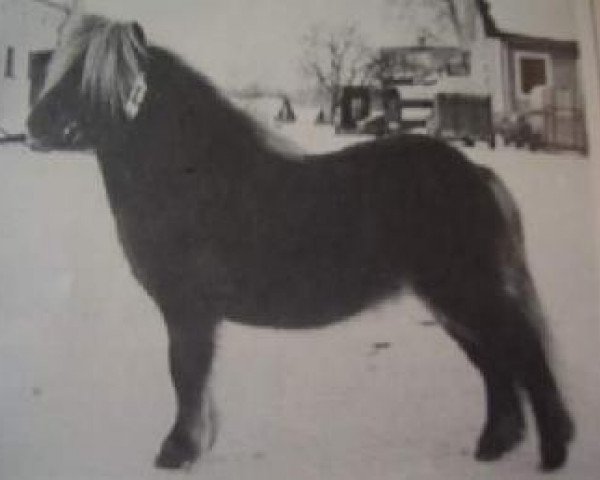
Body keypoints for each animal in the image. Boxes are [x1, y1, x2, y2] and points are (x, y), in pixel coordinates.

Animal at [25, 10, 576, 472]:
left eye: (90, 76)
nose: (34, 125)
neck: (194, 177)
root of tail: (475, 172)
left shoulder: (188, 311)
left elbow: (185, 376)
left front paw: (177, 451)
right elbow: (195, 381)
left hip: (467, 292)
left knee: (523, 353)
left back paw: (553, 454)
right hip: (450, 301)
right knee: (496, 364)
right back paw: (494, 446)